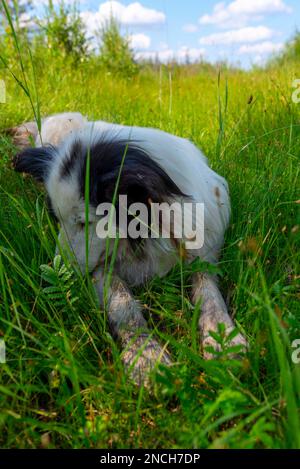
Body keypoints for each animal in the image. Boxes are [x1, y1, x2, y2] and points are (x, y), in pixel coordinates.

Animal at [10, 112, 247, 384]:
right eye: (55, 219)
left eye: (83, 222)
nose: (58, 273)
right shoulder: (101, 269)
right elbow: (123, 304)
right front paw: (147, 358)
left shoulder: (202, 252)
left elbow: (209, 293)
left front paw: (223, 339)